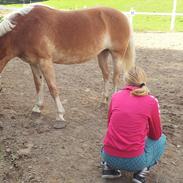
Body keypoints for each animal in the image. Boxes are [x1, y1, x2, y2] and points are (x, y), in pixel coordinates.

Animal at [0, 4, 134, 124]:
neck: (25, 28)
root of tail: (122, 15)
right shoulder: (33, 63)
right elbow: (38, 85)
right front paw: (37, 108)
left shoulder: (45, 61)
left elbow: (53, 88)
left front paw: (60, 115)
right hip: (102, 54)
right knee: (106, 75)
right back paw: (103, 101)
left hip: (117, 55)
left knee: (115, 78)